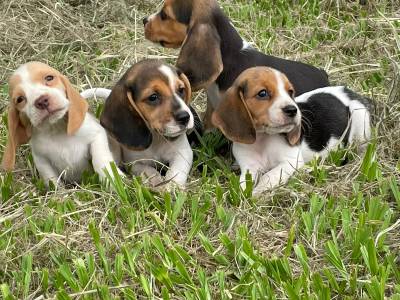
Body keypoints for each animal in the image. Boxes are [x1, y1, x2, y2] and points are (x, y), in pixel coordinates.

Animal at [82, 59, 195, 188]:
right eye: (153, 97)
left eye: (181, 90)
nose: (185, 117)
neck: (156, 138)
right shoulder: (133, 163)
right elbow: (147, 169)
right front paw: (155, 180)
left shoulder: (183, 153)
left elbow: (176, 172)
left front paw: (171, 187)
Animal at [212, 67, 372, 196]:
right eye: (262, 93)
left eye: (290, 92)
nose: (293, 110)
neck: (263, 139)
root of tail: (347, 90)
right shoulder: (250, 167)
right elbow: (244, 184)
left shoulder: (290, 162)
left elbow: (269, 176)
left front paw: (258, 192)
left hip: (360, 119)